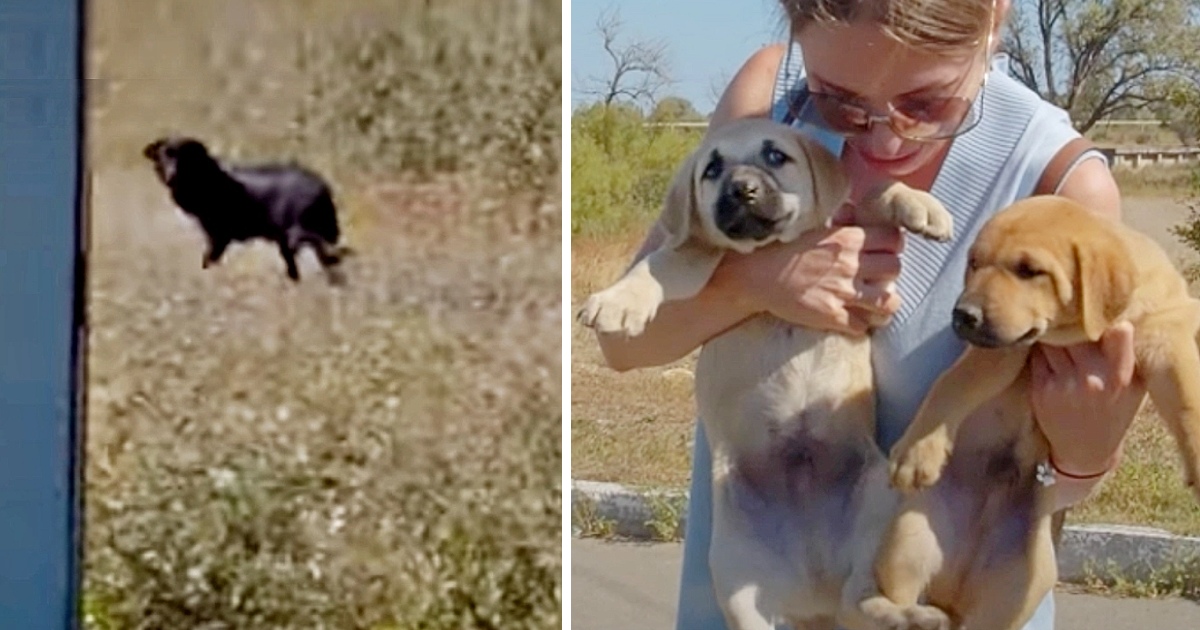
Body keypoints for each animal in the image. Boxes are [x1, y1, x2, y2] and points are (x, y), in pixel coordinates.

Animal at [144, 138, 350, 285]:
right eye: (163, 156)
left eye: (184, 158)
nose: (171, 177)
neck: (207, 179)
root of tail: (323, 189)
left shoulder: (220, 236)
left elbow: (208, 261)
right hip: (291, 240)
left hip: (296, 234)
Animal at [580, 119, 955, 628]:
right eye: (712, 169)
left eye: (776, 156)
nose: (742, 189)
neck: (775, 245)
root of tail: (816, 590)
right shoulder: (695, 257)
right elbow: (656, 264)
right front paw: (618, 302)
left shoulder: (853, 250)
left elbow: (876, 191)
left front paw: (921, 205)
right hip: (737, 575)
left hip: (881, 507)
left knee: (863, 594)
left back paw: (909, 615)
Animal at [873, 193, 1200, 628]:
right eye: (973, 263)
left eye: (1030, 271)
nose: (963, 315)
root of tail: (954, 591)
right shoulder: (1002, 350)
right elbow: (951, 385)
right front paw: (915, 454)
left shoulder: (1166, 337)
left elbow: (1188, 400)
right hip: (907, 542)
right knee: (880, 598)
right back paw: (907, 615)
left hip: (1024, 581)